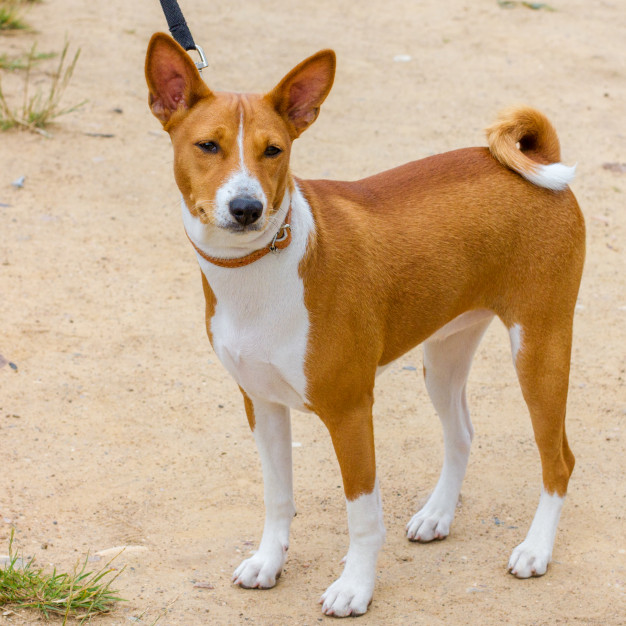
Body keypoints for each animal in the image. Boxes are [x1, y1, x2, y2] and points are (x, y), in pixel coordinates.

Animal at [144, 34, 584, 616]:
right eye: (207, 146)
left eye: (273, 150)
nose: (246, 207)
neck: (258, 270)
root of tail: (541, 158)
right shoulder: (261, 403)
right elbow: (277, 497)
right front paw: (269, 562)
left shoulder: (350, 411)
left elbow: (362, 516)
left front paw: (355, 586)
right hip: (444, 357)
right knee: (463, 433)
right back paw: (437, 515)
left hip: (540, 351)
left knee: (559, 461)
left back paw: (535, 549)